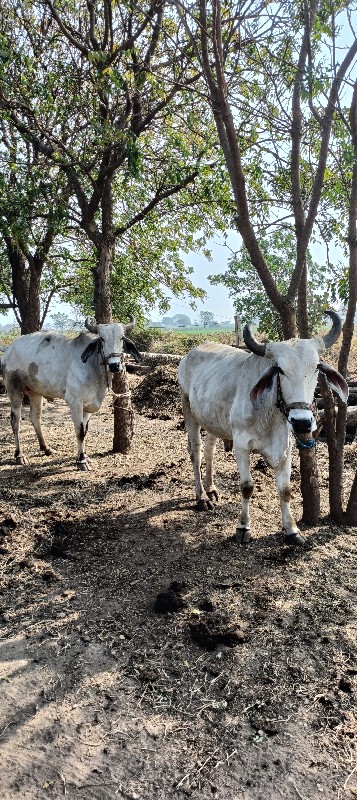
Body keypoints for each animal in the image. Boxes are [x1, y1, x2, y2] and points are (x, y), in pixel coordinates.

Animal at [0, 316, 140, 472]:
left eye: (121, 338)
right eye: (102, 339)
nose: (114, 365)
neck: (93, 367)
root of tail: (9, 348)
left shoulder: (88, 406)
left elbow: (85, 431)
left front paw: (85, 456)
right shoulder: (75, 402)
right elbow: (79, 431)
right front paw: (81, 461)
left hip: (35, 392)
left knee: (35, 417)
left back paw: (46, 448)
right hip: (14, 389)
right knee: (15, 420)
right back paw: (19, 455)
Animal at [177, 310, 346, 548]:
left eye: (316, 367)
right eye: (280, 370)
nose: (301, 422)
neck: (269, 415)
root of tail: (188, 355)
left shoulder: (285, 449)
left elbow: (285, 490)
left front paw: (292, 530)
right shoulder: (241, 447)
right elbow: (247, 486)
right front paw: (243, 527)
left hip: (212, 420)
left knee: (209, 450)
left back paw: (211, 489)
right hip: (188, 410)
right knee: (196, 452)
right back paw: (201, 498)